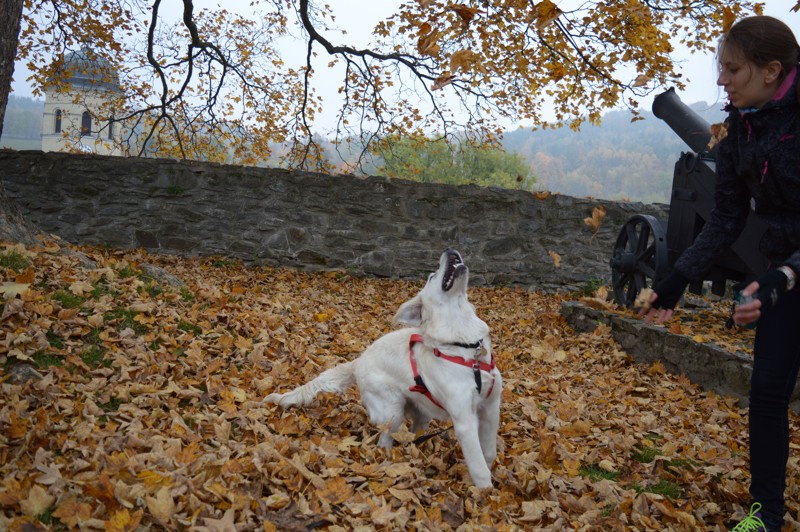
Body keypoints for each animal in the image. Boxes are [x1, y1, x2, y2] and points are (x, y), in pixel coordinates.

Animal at [262, 247, 500, 488]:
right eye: (432, 276)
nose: (449, 249)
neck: (465, 345)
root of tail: (359, 361)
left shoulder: (491, 407)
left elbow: (488, 452)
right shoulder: (464, 420)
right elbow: (479, 466)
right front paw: (485, 493)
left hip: (421, 409)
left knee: (413, 434)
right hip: (392, 410)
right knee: (384, 439)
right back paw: (387, 461)